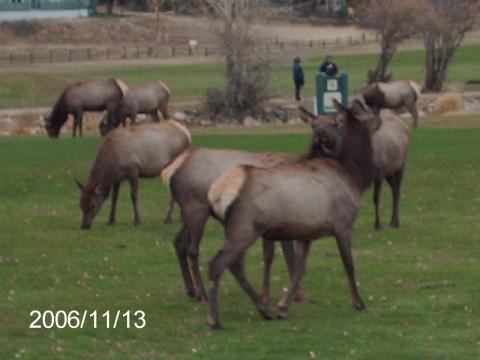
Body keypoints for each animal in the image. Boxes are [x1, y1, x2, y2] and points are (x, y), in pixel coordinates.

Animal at [161, 107, 342, 304]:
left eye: (334, 123)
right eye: (313, 124)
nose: (321, 135)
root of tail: (172, 171)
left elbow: (273, 255)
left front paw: (275, 293)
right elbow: (286, 256)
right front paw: (296, 295)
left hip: (189, 210)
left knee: (178, 242)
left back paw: (191, 290)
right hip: (196, 208)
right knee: (192, 249)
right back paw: (202, 294)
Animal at [206, 100, 382, 330]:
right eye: (367, 115)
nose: (380, 117)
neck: (354, 176)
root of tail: (217, 192)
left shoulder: (307, 233)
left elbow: (299, 269)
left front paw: (283, 307)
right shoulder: (343, 224)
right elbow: (349, 264)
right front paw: (358, 302)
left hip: (237, 229)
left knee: (236, 264)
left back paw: (264, 310)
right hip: (244, 227)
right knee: (218, 263)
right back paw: (214, 319)